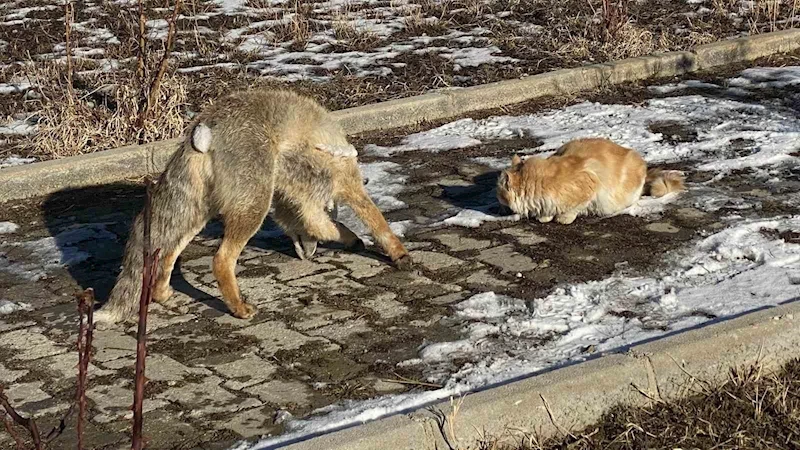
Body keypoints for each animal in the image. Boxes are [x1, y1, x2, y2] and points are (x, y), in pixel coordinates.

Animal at [496, 135, 684, 223]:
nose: (497, 201)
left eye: (499, 194)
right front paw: (545, 217)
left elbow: (572, 209)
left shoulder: (590, 185)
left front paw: (562, 218)